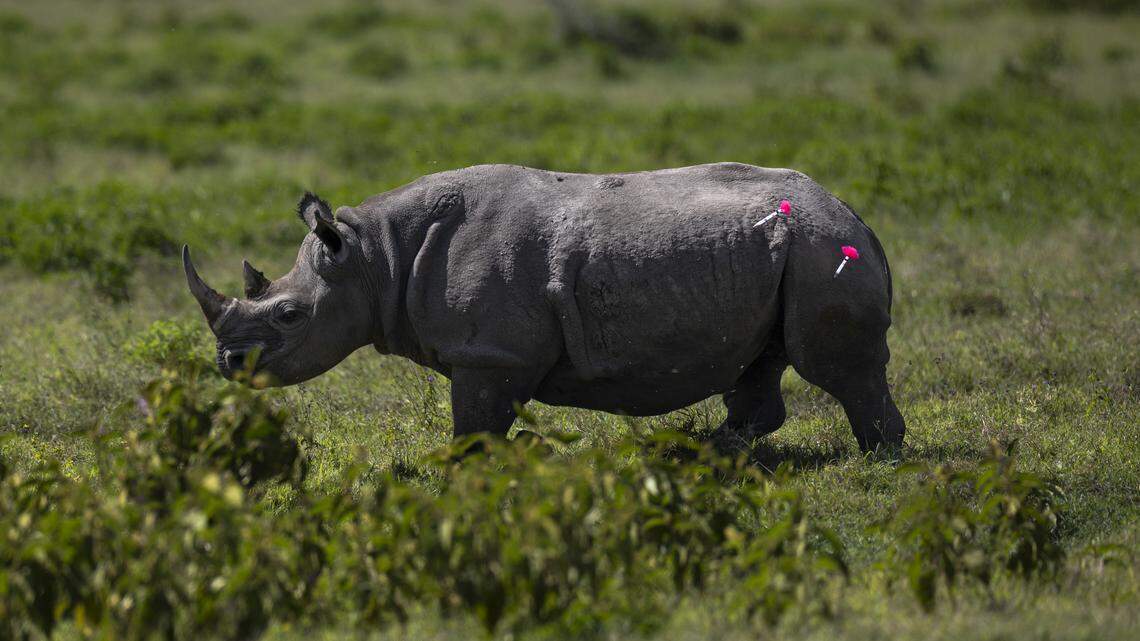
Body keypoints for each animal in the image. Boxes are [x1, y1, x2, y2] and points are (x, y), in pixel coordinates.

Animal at [184, 163, 905, 452]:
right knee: (763, 361)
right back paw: (707, 450)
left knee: (832, 365)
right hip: (788, 253)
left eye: (288, 316)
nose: (228, 363)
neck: (372, 257)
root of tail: (862, 219)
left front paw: (460, 477)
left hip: (818, 249)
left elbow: (474, 429)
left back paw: (877, 457)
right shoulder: (490, 355)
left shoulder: (489, 356)